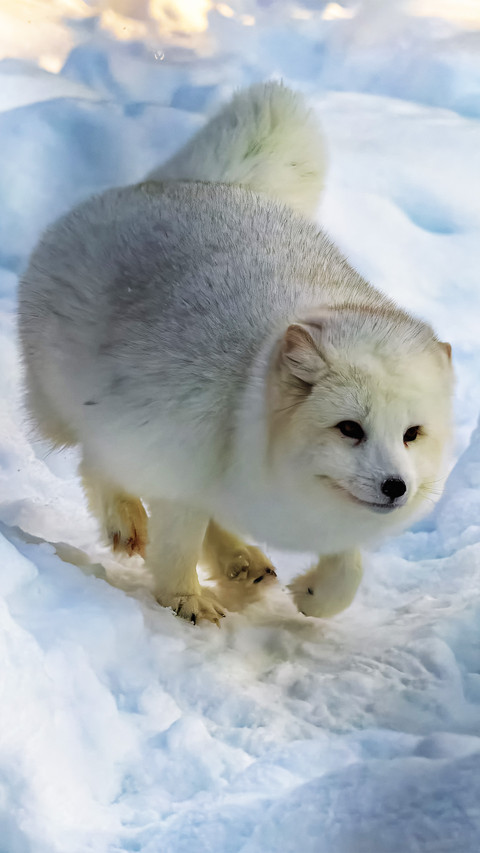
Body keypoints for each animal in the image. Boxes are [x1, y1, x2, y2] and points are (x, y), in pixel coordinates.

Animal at [18, 82, 453, 624]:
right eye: (349, 428)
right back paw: (129, 523)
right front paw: (184, 600)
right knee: (94, 463)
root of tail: (182, 183)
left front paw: (313, 595)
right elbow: (177, 544)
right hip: (88, 407)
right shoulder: (177, 458)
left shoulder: (327, 519)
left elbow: (348, 573)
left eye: (412, 434)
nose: (397, 487)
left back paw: (241, 561)